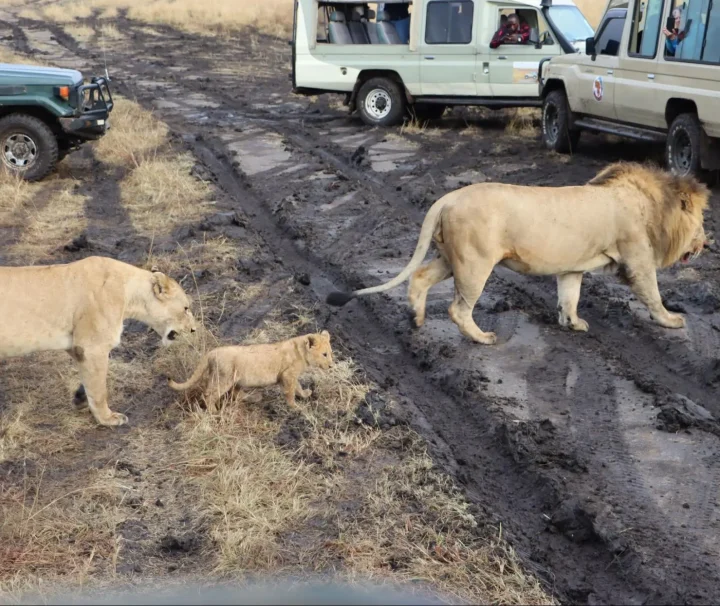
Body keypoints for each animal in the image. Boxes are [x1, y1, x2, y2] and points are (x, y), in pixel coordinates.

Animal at [0, 256, 197, 428]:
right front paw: (107, 418)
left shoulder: (77, 344)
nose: (194, 329)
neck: (130, 293)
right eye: (186, 308)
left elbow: (90, 381)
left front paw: (80, 398)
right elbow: (100, 387)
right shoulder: (92, 346)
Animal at [168, 332, 334, 414]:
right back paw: (214, 411)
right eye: (325, 354)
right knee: (209, 394)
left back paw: (255, 397)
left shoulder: (287, 376)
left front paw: (306, 394)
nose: (332, 366)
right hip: (224, 378)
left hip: (231, 378)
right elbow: (291, 392)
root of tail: (211, 352)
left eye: (331, 353)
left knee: (235, 393)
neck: (300, 350)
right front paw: (296, 407)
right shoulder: (287, 375)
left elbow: (298, 387)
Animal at [326, 164, 708, 344]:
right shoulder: (637, 258)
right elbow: (652, 293)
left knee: (420, 277)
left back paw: (417, 320)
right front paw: (671, 320)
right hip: (475, 262)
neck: (655, 206)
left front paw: (573, 324)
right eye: (701, 223)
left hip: (451, 257)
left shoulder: (572, 267)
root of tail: (447, 197)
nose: (707, 243)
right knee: (457, 309)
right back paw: (482, 338)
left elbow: (569, 297)